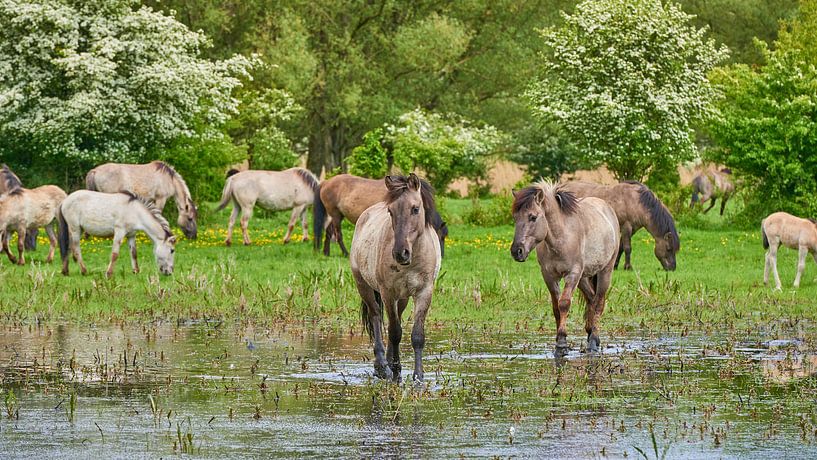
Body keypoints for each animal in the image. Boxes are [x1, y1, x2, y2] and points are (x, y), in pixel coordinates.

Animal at [312, 173, 450, 258]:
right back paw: (345, 253)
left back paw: (325, 252)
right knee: (338, 234)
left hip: (337, 215)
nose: (442, 255)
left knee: (328, 231)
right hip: (335, 215)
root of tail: (325, 182)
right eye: (440, 237)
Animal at [350, 174, 440, 382]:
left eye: (415, 209)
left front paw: (418, 376)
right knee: (376, 316)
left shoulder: (424, 292)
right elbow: (395, 332)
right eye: (390, 211)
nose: (400, 253)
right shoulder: (388, 293)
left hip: (403, 297)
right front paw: (396, 371)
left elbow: (417, 335)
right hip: (364, 286)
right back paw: (382, 366)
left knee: (395, 318)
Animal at [510, 181, 620, 354]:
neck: (561, 238)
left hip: (605, 271)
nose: (516, 251)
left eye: (533, 217)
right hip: (583, 277)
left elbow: (564, 304)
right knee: (591, 299)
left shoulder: (572, 273)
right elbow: (556, 307)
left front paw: (562, 343)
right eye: (515, 218)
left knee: (599, 302)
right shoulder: (549, 275)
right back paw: (590, 332)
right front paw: (559, 340)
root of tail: (607, 208)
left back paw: (594, 340)